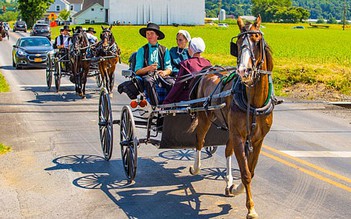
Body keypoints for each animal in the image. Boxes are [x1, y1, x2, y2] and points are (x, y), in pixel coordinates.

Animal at [190, 15, 276, 217]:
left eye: (257, 41)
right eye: (237, 43)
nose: (244, 71)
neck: (254, 103)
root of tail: (209, 71)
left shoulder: (258, 139)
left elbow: (250, 170)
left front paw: (235, 187)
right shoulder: (238, 136)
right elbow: (245, 173)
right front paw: (250, 208)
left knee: (227, 150)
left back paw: (228, 182)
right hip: (205, 118)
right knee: (200, 140)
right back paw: (196, 167)